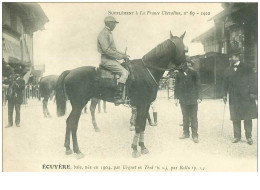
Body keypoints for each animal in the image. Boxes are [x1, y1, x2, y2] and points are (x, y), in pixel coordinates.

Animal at [55, 31, 187, 159]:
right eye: (185, 49)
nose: (186, 67)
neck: (147, 70)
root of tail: (70, 72)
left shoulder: (144, 105)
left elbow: (142, 125)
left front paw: (142, 146)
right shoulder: (143, 104)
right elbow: (139, 126)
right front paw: (135, 149)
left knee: (68, 122)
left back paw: (68, 148)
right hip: (79, 104)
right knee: (73, 123)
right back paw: (77, 150)